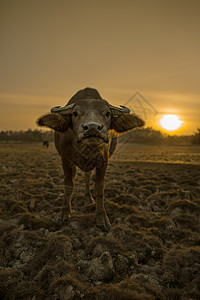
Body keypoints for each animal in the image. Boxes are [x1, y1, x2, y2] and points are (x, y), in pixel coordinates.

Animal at [37, 88, 144, 231]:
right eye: (75, 113)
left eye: (107, 113)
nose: (92, 127)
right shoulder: (66, 160)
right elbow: (68, 186)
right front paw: (64, 213)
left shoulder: (103, 161)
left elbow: (99, 189)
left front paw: (101, 218)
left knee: (87, 177)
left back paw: (88, 197)